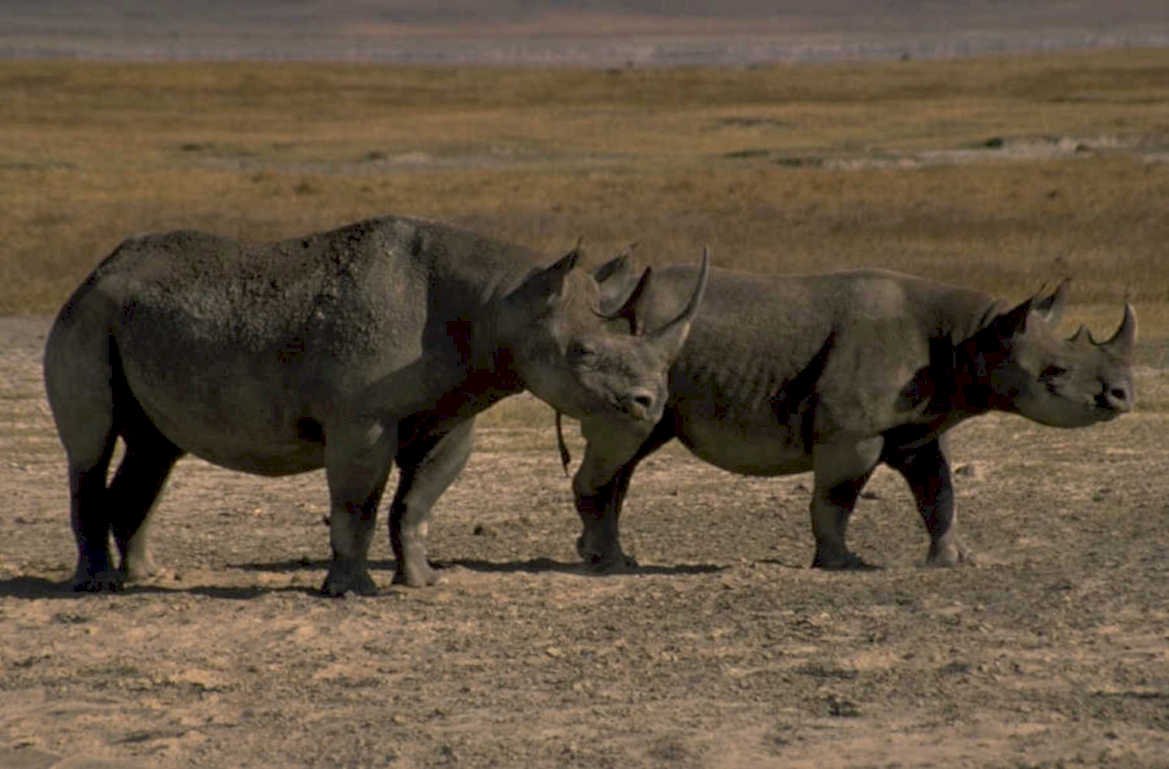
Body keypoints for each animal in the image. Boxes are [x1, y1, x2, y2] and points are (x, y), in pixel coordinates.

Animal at [43, 215, 709, 595]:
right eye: (582, 352)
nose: (649, 402)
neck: (504, 303)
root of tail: (96, 269)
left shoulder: (452, 414)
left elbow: (416, 503)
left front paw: (422, 582)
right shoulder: (359, 420)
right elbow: (358, 501)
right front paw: (350, 591)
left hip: (129, 319)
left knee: (156, 450)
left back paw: (146, 577)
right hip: (86, 317)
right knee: (90, 448)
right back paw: (96, 586)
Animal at [567, 261, 1135, 570]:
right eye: (1056, 373)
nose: (1123, 395)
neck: (976, 335)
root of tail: (602, 298)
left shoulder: (918, 428)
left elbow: (939, 492)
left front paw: (953, 561)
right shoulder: (853, 429)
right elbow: (838, 497)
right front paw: (843, 563)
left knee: (629, 451)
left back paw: (605, 557)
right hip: (631, 357)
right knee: (625, 445)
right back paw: (608, 563)